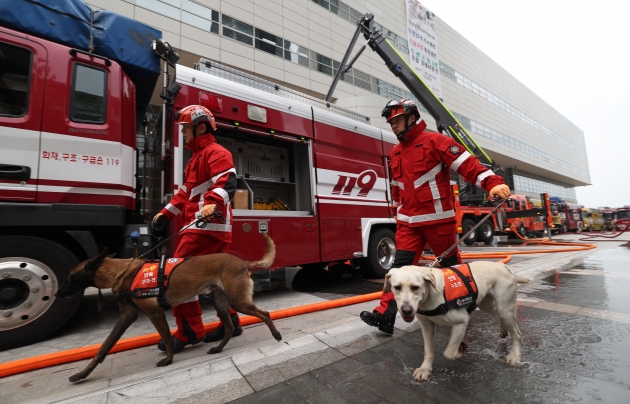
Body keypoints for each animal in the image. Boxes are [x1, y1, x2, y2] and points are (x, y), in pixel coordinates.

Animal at [56, 234, 284, 382]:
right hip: (221, 302)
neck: (122, 272)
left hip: (238, 301)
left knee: (264, 314)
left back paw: (277, 335)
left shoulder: (155, 313)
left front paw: (168, 359)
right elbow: (103, 348)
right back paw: (218, 348)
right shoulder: (126, 317)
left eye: (70, 276)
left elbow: (165, 338)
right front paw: (82, 374)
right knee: (228, 327)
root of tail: (243, 262)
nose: (57, 294)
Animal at [386, 264, 528, 380]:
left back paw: (515, 356)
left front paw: (461, 349)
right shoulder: (427, 325)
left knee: (517, 334)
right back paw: (504, 330)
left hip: (505, 308)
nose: (406, 310)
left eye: (415, 287)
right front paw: (425, 369)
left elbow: (448, 353)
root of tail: (504, 267)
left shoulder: (462, 322)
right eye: (397, 287)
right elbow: (428, 351)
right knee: (499, 316)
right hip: (489, 306)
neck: (430, 294)